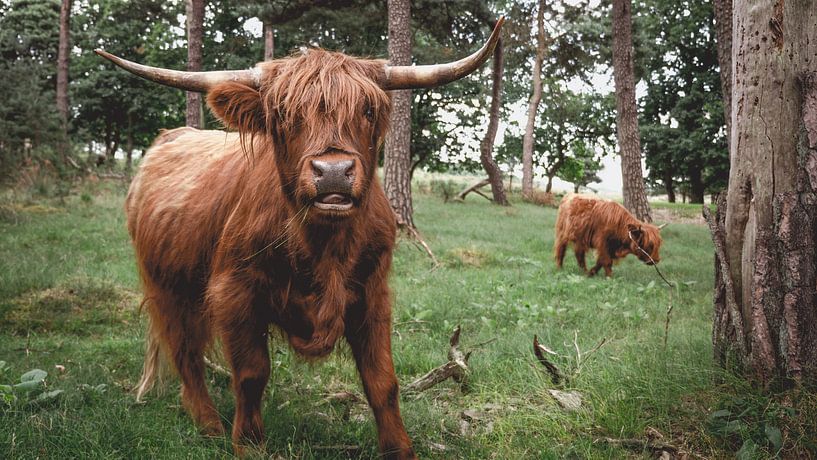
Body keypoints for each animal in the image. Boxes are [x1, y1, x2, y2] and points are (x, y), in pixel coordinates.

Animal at [98, 18, 500, 460]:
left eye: (367, 109)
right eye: (284, 114)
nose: (333, 172)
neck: (324, 249)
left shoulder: (373, 293)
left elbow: (383, 381)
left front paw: (399, 449)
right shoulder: (234, 291)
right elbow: (252, 373)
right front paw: (248, 444)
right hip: (169, 287)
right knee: (186, 352)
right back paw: (208, 423)